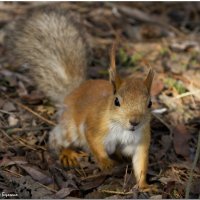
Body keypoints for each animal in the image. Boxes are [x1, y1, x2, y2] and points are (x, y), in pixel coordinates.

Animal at [5, 7, 156, 191]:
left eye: (149, 103)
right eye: (117, 101)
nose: (134, 122)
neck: (123, 130)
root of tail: (74, 91)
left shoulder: (141, 141)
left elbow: (141, 164)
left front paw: (144, 186)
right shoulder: (94, 127)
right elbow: (94, 144)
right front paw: (105, 162)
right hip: (70, 130)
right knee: (55, 139)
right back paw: (67, 154)